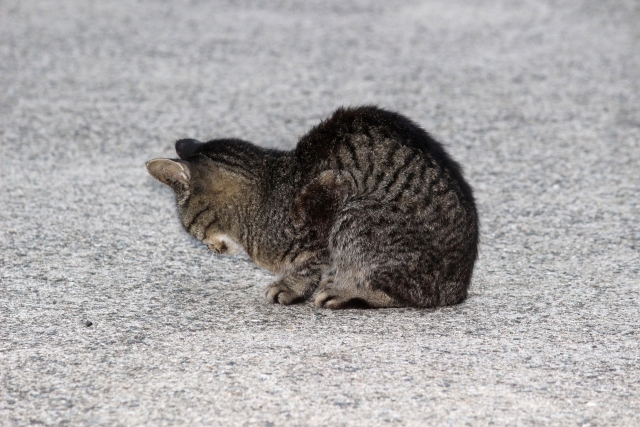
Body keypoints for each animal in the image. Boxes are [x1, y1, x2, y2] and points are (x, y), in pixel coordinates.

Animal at [145, 105, 476, 310]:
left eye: (190, 229)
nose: (210, 249)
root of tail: (457, 290)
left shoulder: (331, 192)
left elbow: (308, 262)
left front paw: (291, 287)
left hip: (358, 214)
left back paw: (345, 293)